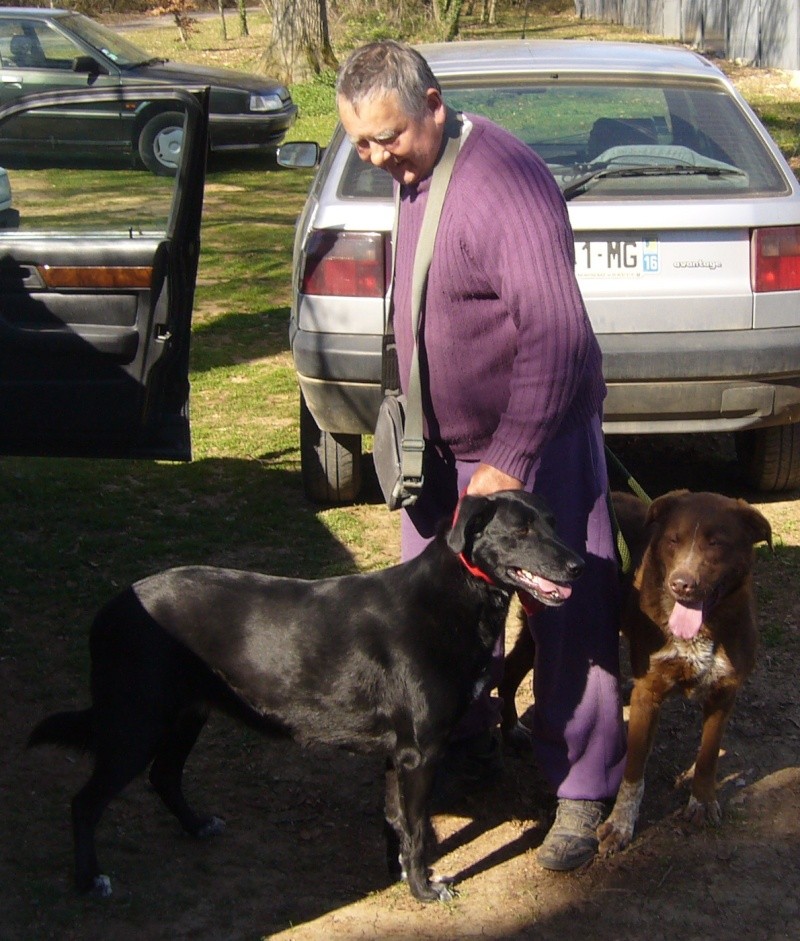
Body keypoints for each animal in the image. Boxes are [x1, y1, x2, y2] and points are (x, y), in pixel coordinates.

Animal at [29, 488, 580, 900]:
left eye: (555, 523)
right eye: (521, 530)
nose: (579, 565)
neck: (456, 594)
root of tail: (108, 610)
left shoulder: (397, 754)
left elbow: (396, 820)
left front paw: (398, 873)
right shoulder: (420, 753)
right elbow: (418, 827)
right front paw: (424, 889)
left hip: (187, 714)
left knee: (163, 777)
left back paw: (196, 825)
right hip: (137, 723)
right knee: (85, 802)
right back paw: (89, 879)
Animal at [596, 488, 772, 856]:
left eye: (716, 543)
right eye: (673, 540)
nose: (681, 585)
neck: (702, 631)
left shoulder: (724, 693)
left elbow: (708, 755)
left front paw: (702, 802)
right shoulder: (648, 694)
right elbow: (634, 768)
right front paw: (620, 824)